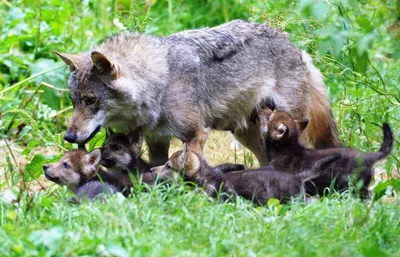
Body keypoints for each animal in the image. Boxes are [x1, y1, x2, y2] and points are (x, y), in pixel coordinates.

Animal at [54, 19, 340, 165]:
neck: (160, 81)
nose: (69, 136)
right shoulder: (156, 140)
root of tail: (296, 46)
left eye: (91, 100)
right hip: (248, 135)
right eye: (74, 101)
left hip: (286, 127)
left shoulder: (195, 136)